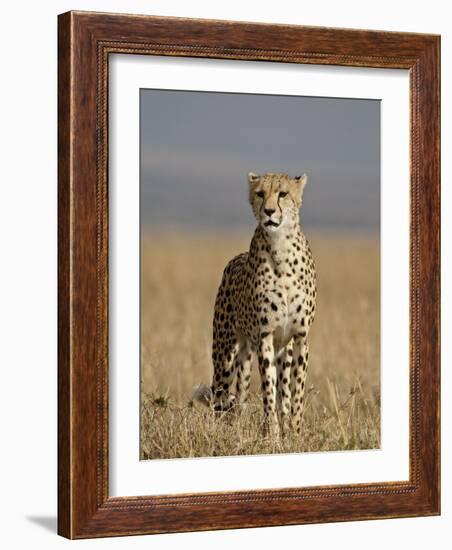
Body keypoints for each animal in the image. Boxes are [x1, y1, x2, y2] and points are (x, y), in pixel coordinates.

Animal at [194, 172, 318, 440]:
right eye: (260, 193)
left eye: (283, 194)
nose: (269, 211)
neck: (281, 250)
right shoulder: (265, 336)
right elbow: (268, 392)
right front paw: (272, 437)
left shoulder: (300, 337)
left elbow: (295, 394)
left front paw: (294, 434)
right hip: (226, 352)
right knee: (220, 397)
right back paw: (223, 433)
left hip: (275, 352)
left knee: (265, 394)